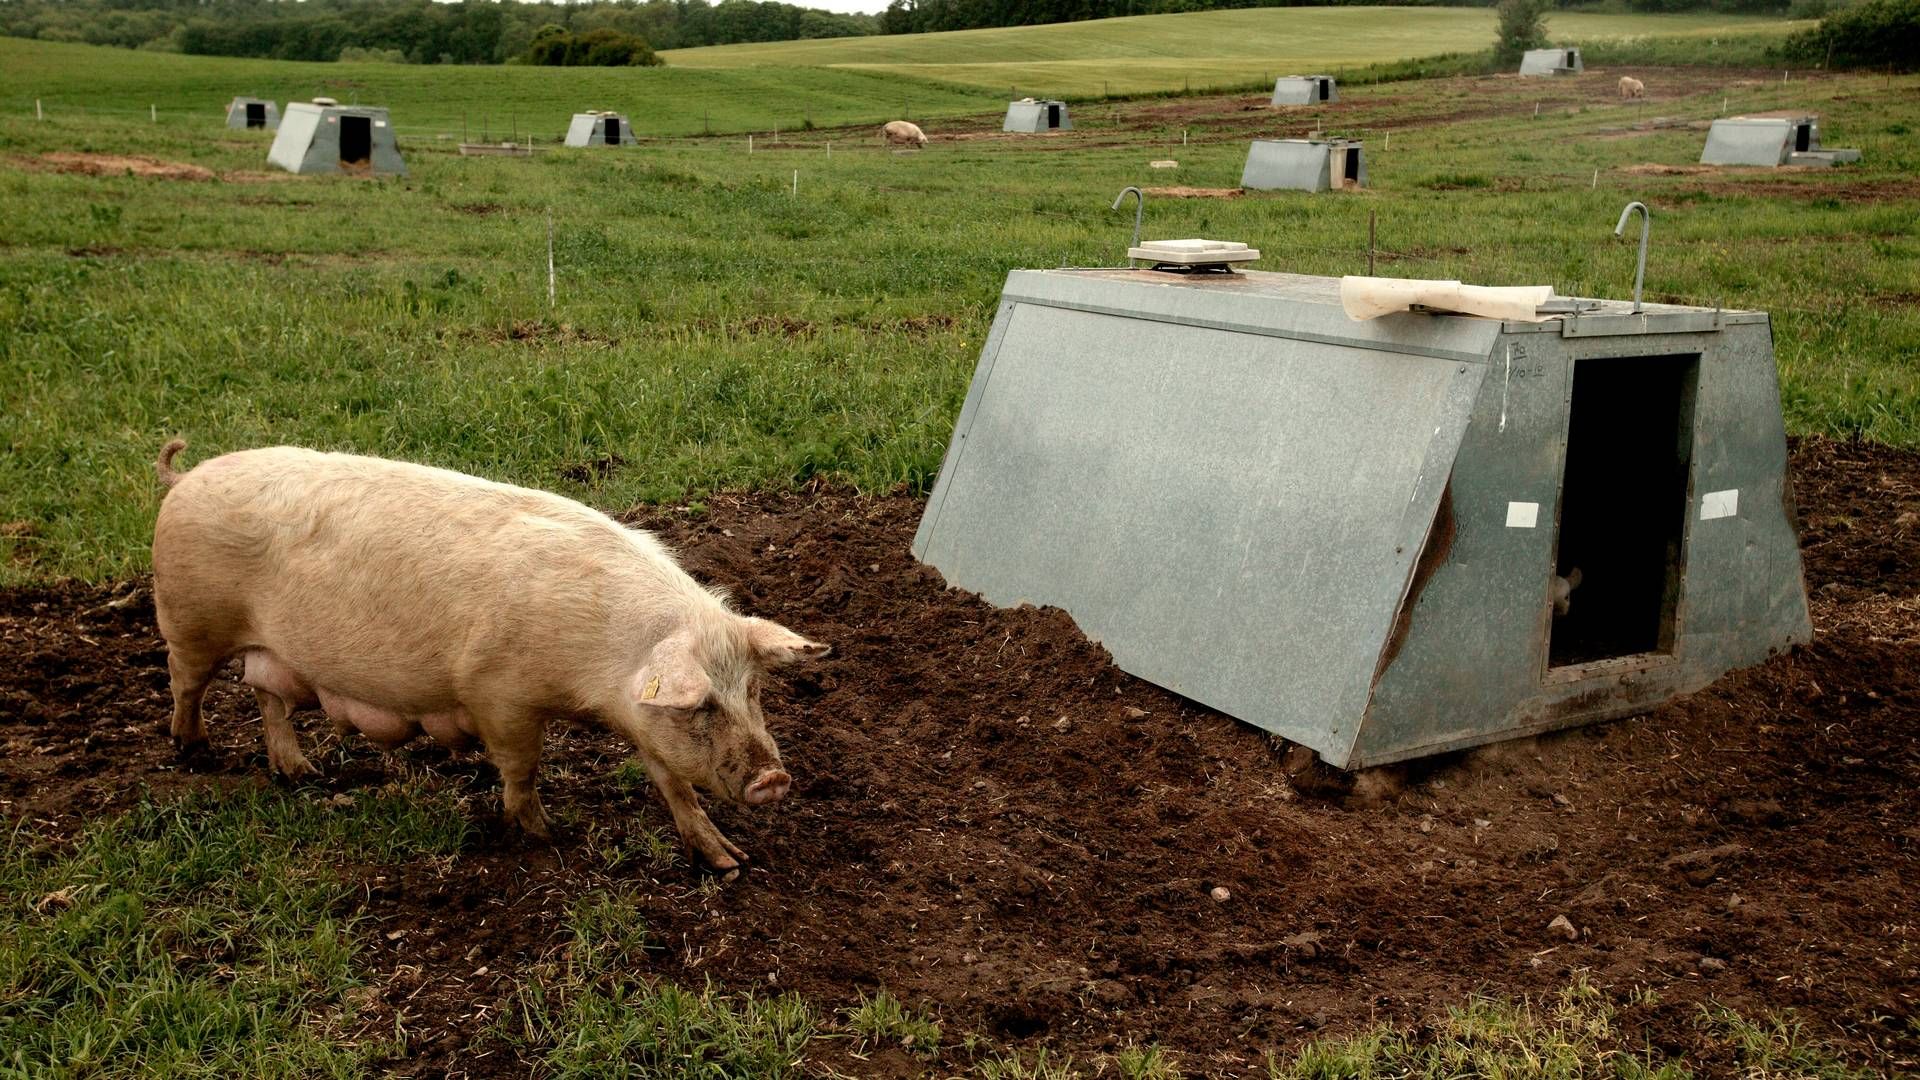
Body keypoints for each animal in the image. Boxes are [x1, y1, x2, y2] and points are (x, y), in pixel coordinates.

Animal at [153, 438, 829, 876]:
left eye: (752, 692)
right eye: (702, 704)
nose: (775, 779)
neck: (599, 672)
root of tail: (183, 480)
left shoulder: (643, 719)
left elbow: (675, 786)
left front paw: (730, 863)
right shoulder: (499, 695)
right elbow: (521, 769)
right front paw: (549, 836)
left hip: (269, 651)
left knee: (267, 696)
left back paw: (301, 774)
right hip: (188, 619)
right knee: (186, 683)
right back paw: (194, 751)